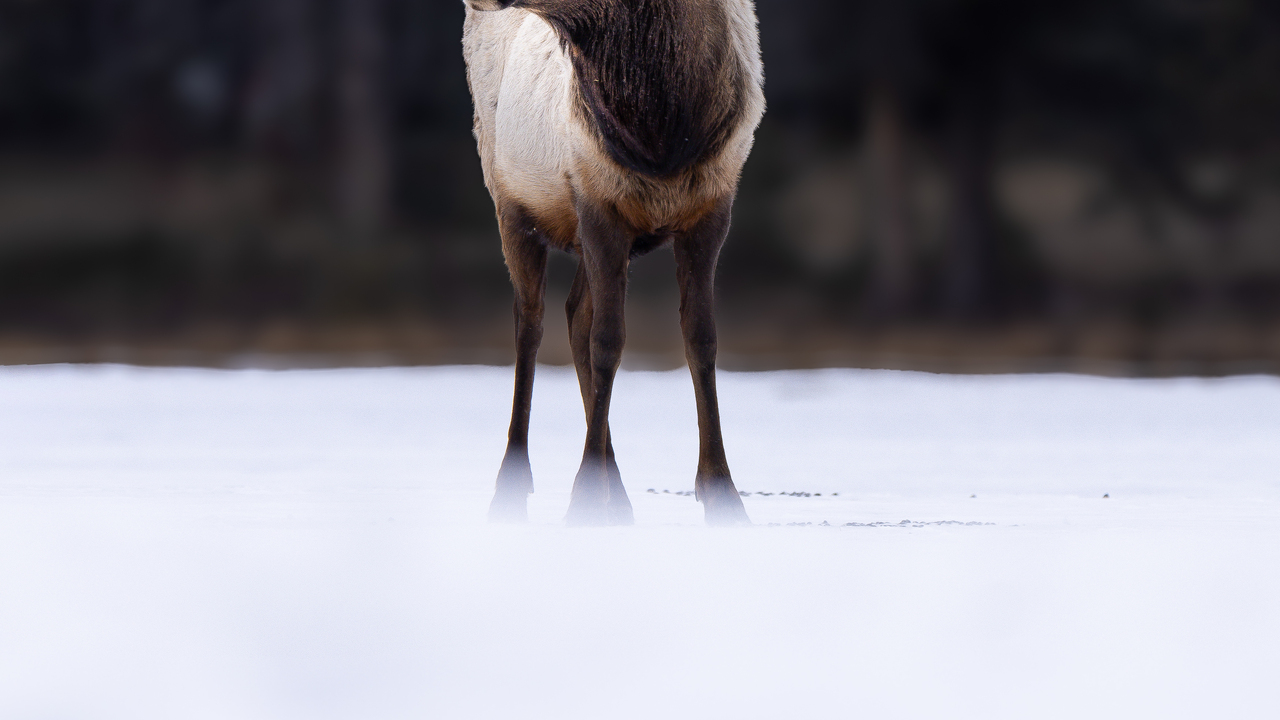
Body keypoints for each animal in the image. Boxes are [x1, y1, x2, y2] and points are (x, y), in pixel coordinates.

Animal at [461, 0, 764, 526]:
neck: (663, 138)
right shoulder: (596, 200)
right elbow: (608, 343)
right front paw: (583, 493)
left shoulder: (711, 207)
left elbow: (702, 340)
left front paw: (722, 491)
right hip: (511, 200)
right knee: (530, 323)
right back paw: (512, 487)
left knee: (574, 314)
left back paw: (617, 493)